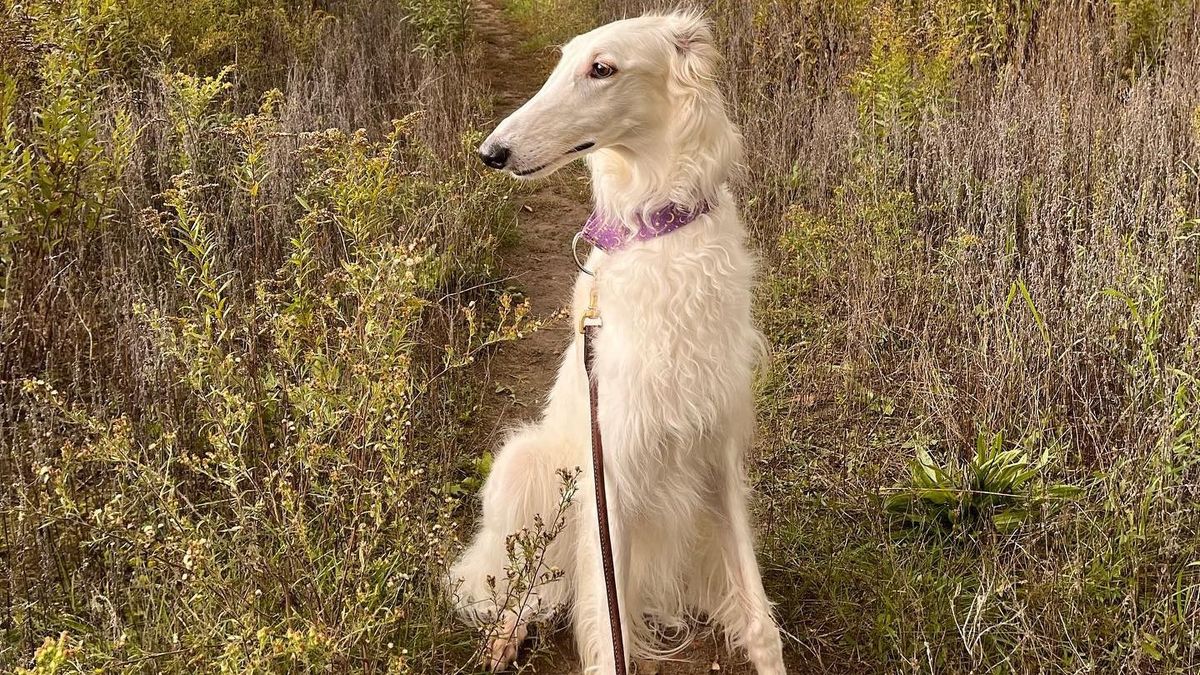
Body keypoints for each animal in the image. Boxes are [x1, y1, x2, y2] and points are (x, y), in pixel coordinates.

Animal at [451, 10, 787, 672]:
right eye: (561, 63)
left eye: (602, 68)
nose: (491, 153)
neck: (661, 232)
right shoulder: (612, 476)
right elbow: (610, 644)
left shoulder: (717, 456)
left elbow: (762, 623)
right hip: (523, 464)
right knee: (515, 586)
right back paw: (504, 634)